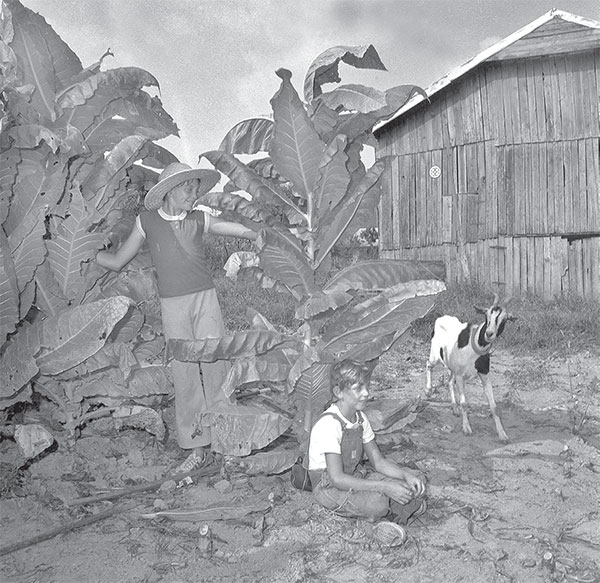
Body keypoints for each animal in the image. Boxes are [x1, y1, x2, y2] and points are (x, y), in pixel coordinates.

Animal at [424, 294, 512, 444]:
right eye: (486, 315)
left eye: (504, 319)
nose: (489, 333)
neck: (474, 345)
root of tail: (441, 318)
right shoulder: (460, 376)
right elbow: (464, 403)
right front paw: (466, 428)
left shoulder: (484, 374)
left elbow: (493, 406)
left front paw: (502, 434)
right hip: (435, 355)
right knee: (428, 364)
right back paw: (428, 391)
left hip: (452, 366)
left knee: (449, 382)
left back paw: (454, 409)